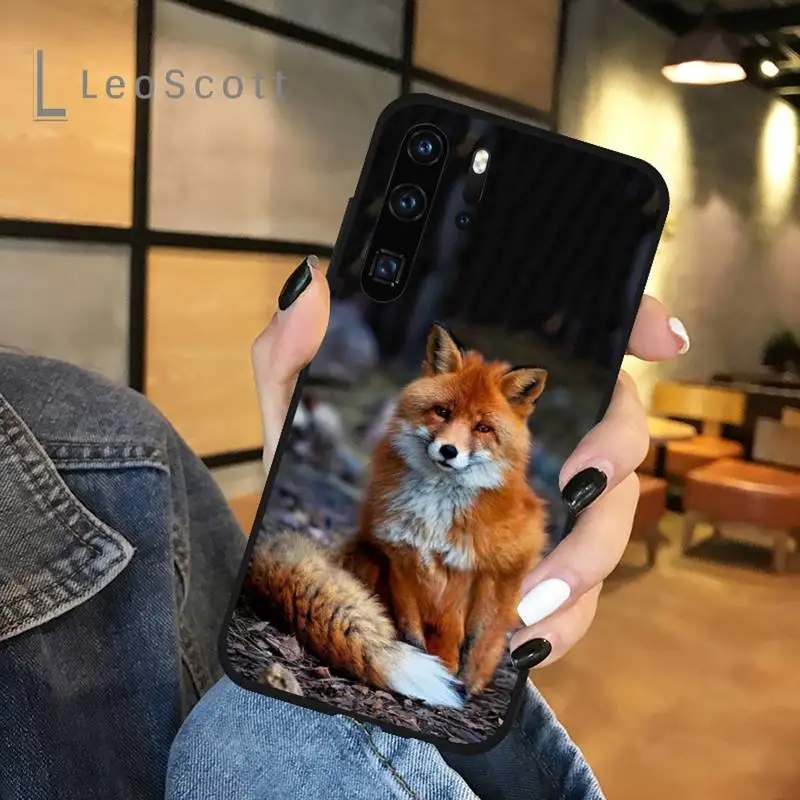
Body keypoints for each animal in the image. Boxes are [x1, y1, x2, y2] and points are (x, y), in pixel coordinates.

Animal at [244, 323, 548, 708]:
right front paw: (431, 670)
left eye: (482, 428)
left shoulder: (487, 569)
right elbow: (410, 628)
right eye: (442, 412)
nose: (449, 451)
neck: (435, 515)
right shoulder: (398, 554)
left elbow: (467, 636)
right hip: (363, 553)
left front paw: (460, 679)